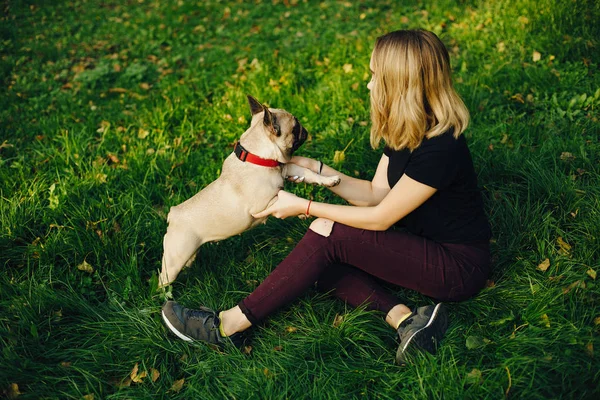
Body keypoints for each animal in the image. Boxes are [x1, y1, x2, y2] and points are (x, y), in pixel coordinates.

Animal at [157, 95, 340, 286]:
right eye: (295, 127)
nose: (304, 129)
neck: (259, 158)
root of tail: (173, 214)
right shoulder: (263, 204)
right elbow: (288, 196)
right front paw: (301, 210)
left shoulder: (289, 168)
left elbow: (309, 173)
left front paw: (329, 180)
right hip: (175, 259)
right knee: (164, 278)